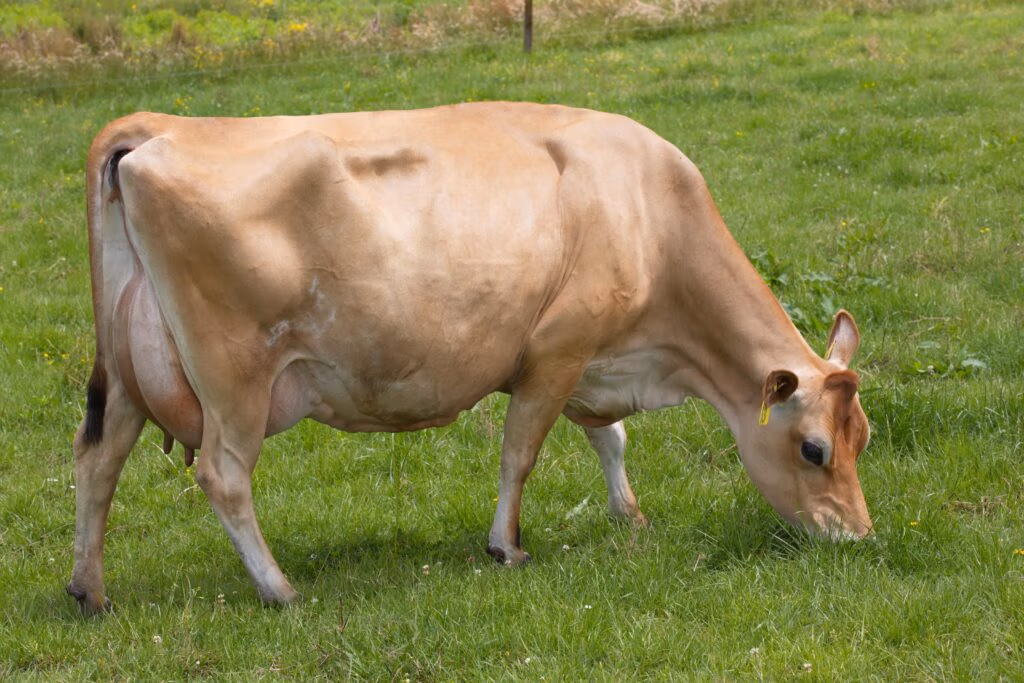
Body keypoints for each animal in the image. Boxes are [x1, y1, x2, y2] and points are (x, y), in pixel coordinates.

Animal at [68, 102, 872, 615]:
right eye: (813, 448)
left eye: (861, 438)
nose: (858, 537)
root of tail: (159, 127)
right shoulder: (556, 349)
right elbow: (522, 453)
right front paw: (506, 546)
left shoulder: (592, 359)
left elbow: (610, 438)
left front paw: (629, 514)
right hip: (235, 375)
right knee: (223, 475)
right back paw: (280, 589)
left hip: (129, 373)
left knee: (97, 460)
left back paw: (90, 590)